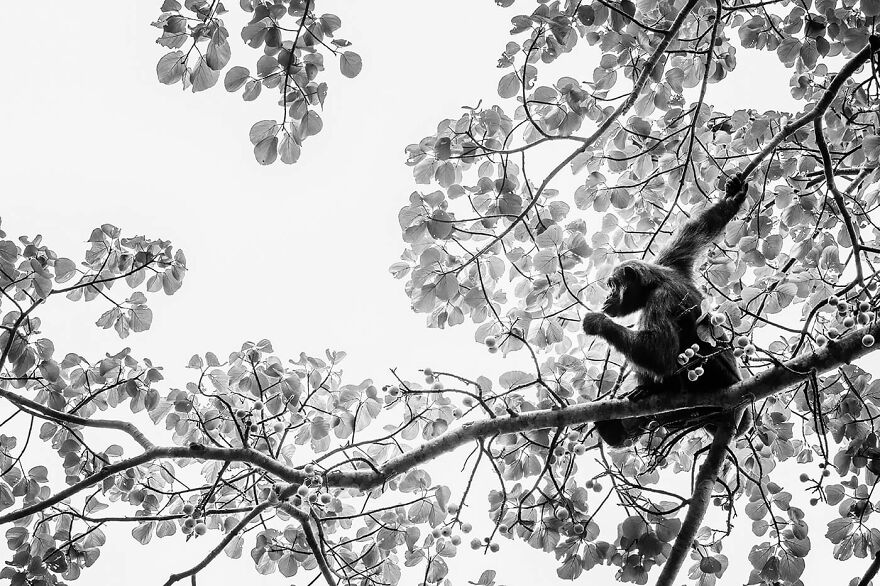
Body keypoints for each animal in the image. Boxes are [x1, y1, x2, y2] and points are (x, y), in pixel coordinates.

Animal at [582, 174, 749, 447]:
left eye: (612, 285)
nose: (607, 296)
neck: (655, 282)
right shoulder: (672, 260)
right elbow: (700, 229)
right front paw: (733, 197)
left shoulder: (661, 300)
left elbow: (659, 350)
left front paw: (598, 323)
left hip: (712, 378)